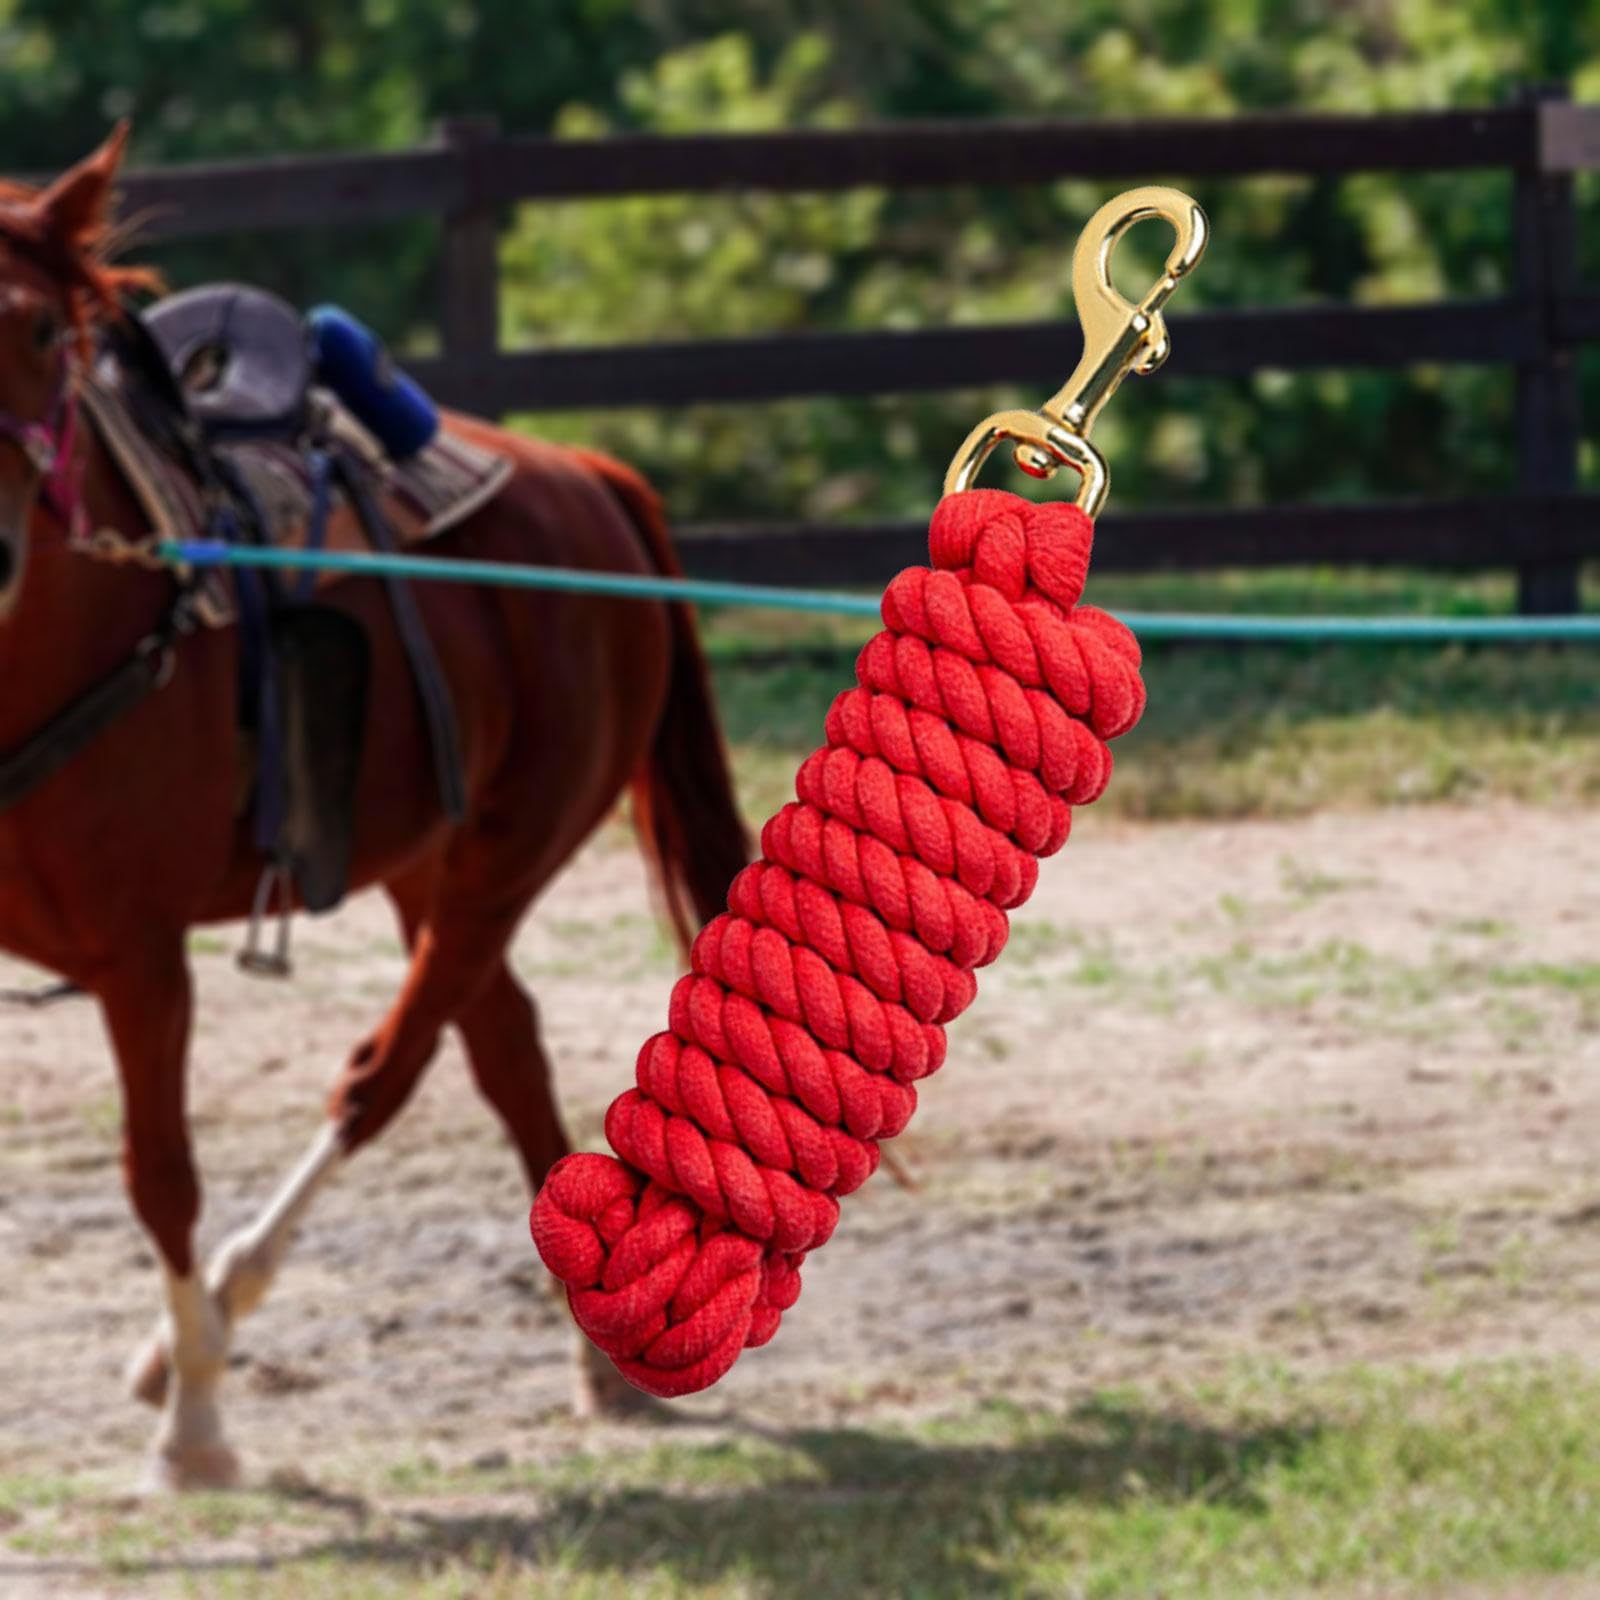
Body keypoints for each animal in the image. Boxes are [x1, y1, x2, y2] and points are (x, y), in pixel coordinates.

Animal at [0, 126, 749, 1489]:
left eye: (37, 329)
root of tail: (590, 477)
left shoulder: (143, 962)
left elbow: (161, 1176)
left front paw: (195, 1437)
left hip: (509, 857)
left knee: (384, 1073)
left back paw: (207, 1335)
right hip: (424, 861)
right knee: (505, 1049)